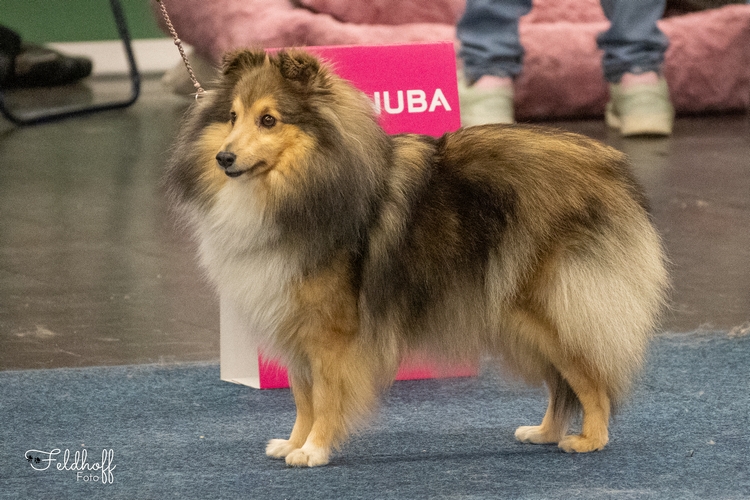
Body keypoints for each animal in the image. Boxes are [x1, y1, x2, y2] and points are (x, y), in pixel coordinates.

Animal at [167, 48, 672, 466]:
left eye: (269, 120)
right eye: (232, 116)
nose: (224, 158)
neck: (303, 183)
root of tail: (612, 168)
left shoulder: (331, 334)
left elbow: (326, 396)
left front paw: (313, 450)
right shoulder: (296, 326)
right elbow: (302, 396)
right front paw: (293, 443)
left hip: (551, 308)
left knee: (590, 376)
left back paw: (590, 440)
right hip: (518, 318)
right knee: (560, 382)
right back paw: (544, 432)